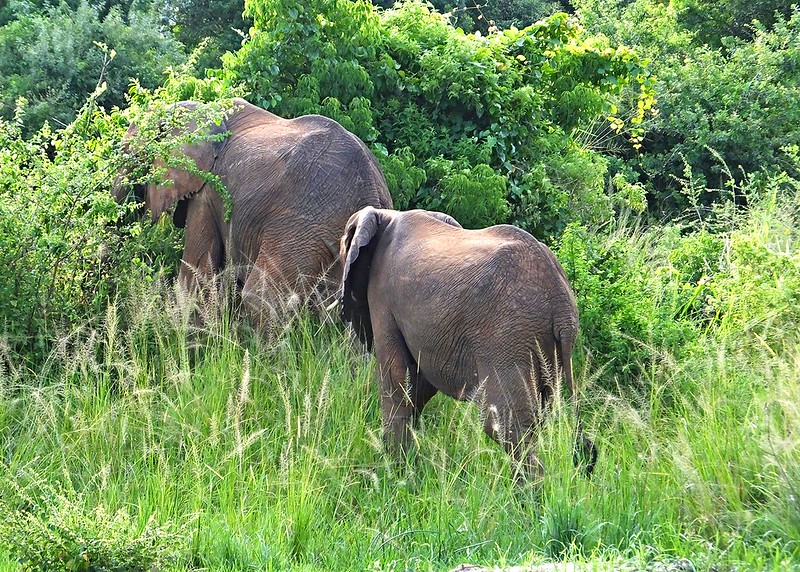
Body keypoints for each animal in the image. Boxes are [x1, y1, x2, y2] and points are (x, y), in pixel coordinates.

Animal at [114, 98, 396, 326]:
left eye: (131, 156)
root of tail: (371, 195)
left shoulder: (208, 192)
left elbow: (196, 275)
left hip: (302, 226)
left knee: (261, 298)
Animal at [338, 208, 592, 480]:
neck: (386, 215)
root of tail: (561, 300)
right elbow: (419, 386)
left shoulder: (383, 295)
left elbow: (396, 380)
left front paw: (396, 473)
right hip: (542, 348)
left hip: (507, 339)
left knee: (503, 428)